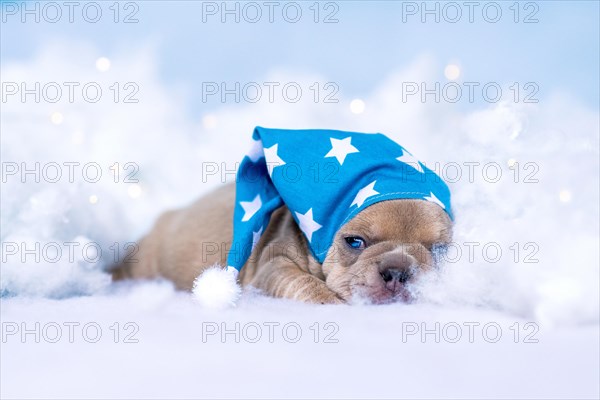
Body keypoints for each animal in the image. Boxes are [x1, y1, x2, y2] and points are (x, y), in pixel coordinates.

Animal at [112, 184, 452, 304]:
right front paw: (331, 302)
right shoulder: (274, 266)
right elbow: (306, 284)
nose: (398, 272)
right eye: (355, 242)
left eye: (439, 250)